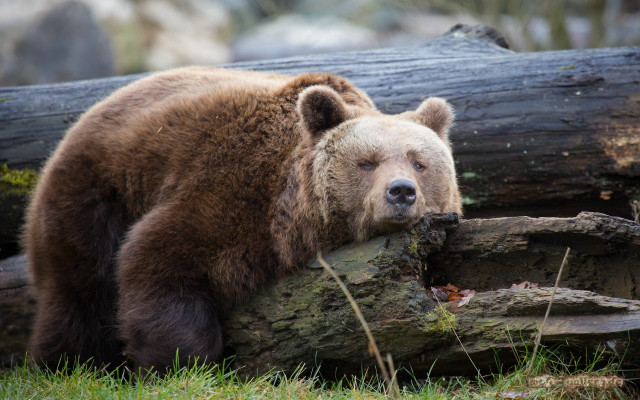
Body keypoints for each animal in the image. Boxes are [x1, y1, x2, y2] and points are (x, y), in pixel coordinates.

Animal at [23, 66, 461, 371]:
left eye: (419, 162)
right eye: (367, 162)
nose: (401, 192)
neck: (291, 215)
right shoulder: (229, 191)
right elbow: (158, 259)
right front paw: (180, 361)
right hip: (95, 192)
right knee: (78, 290)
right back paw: (64, 363)